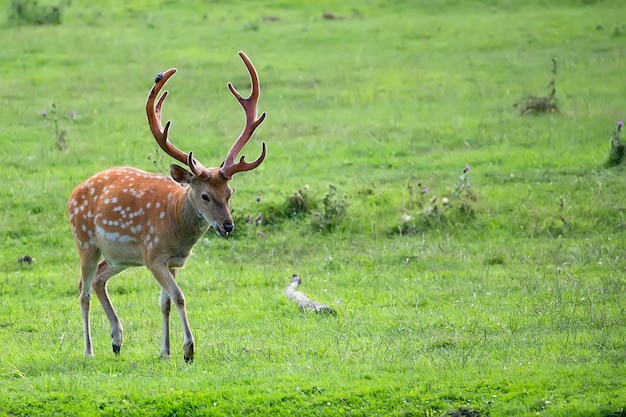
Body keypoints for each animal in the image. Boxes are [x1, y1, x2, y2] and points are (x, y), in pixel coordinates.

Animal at [67, 52, 266, 362]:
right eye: (205, 196)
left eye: (229, 192)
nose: (228, 225)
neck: (175, 226)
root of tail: (72, 195)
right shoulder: (154, 255)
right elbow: (180, 296)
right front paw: (189, 350)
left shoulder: (173, 262)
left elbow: (166, 302)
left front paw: (166, 351)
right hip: (85, 241)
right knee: (83, 290)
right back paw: (89, 351)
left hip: (120, 257)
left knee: (99, 278)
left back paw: (117, 340)